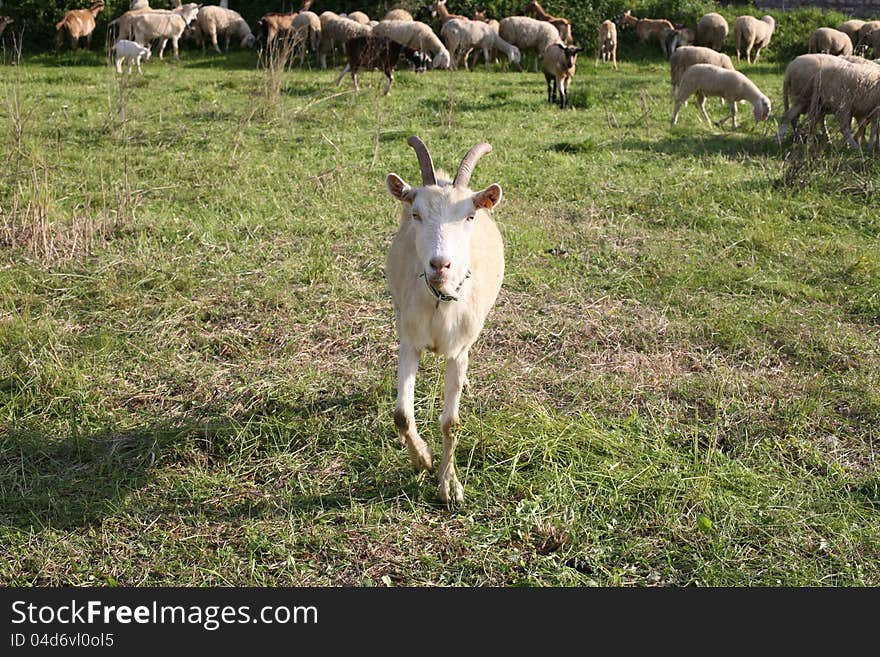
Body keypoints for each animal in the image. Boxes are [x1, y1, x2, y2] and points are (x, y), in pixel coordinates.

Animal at [384, 135, 502, 502]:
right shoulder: (409, 340)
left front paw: (449, 486)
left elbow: (451, 423)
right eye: (416, 213)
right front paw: (422, 459)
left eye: (469, 216)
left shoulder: (458, 350)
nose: (440, 265)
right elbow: (401, 414)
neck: (441, 300)